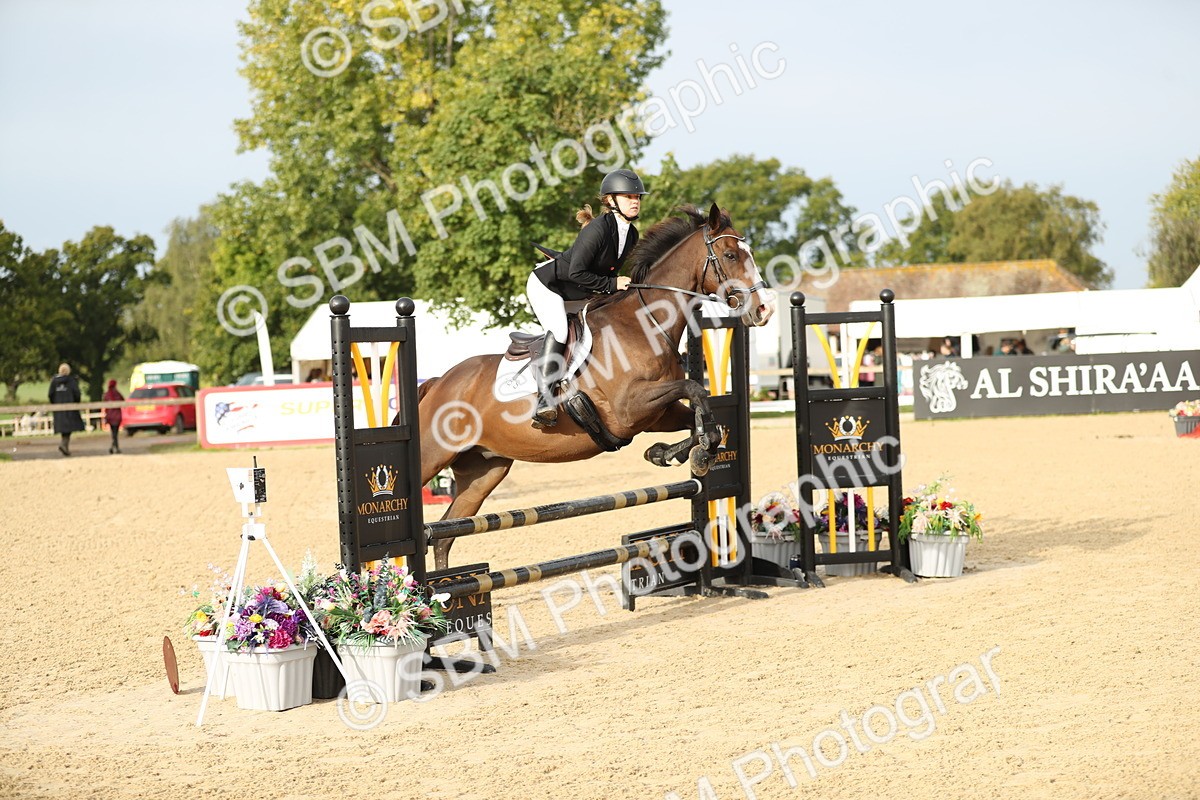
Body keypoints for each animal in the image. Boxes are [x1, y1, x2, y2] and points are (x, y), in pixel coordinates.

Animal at [417, 204, 774, 570]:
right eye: (730, 255)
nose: (764, 309)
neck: (646, 325)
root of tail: (439, 382)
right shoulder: (628, 409)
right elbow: (695, 388)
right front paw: (691, 455)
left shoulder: (656, 415)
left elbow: (708, 422)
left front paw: (670, 453)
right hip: (431, 456)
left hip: (483, 471)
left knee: (443, 537)